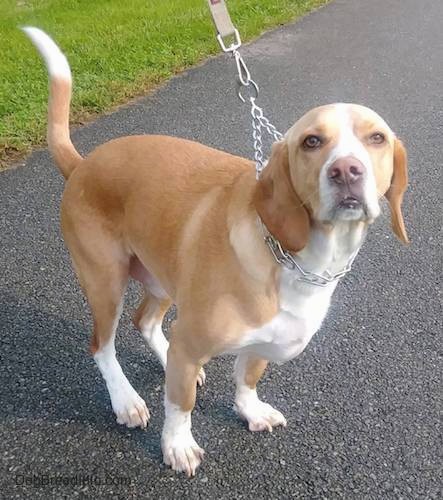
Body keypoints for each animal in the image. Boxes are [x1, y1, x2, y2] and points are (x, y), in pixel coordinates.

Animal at [22, 27, 408, 476]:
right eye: (312, 141)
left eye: (376, 138)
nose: (346, 170)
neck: (295, 257)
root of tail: (83, 164)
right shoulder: (191, 340)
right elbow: (179, 404)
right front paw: (178, 445)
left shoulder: (259, 341)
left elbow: (247, 377)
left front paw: (249, 410)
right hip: (105, 283)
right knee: (102, 346)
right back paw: (126, 400)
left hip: (163, 276)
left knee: (145, 321)